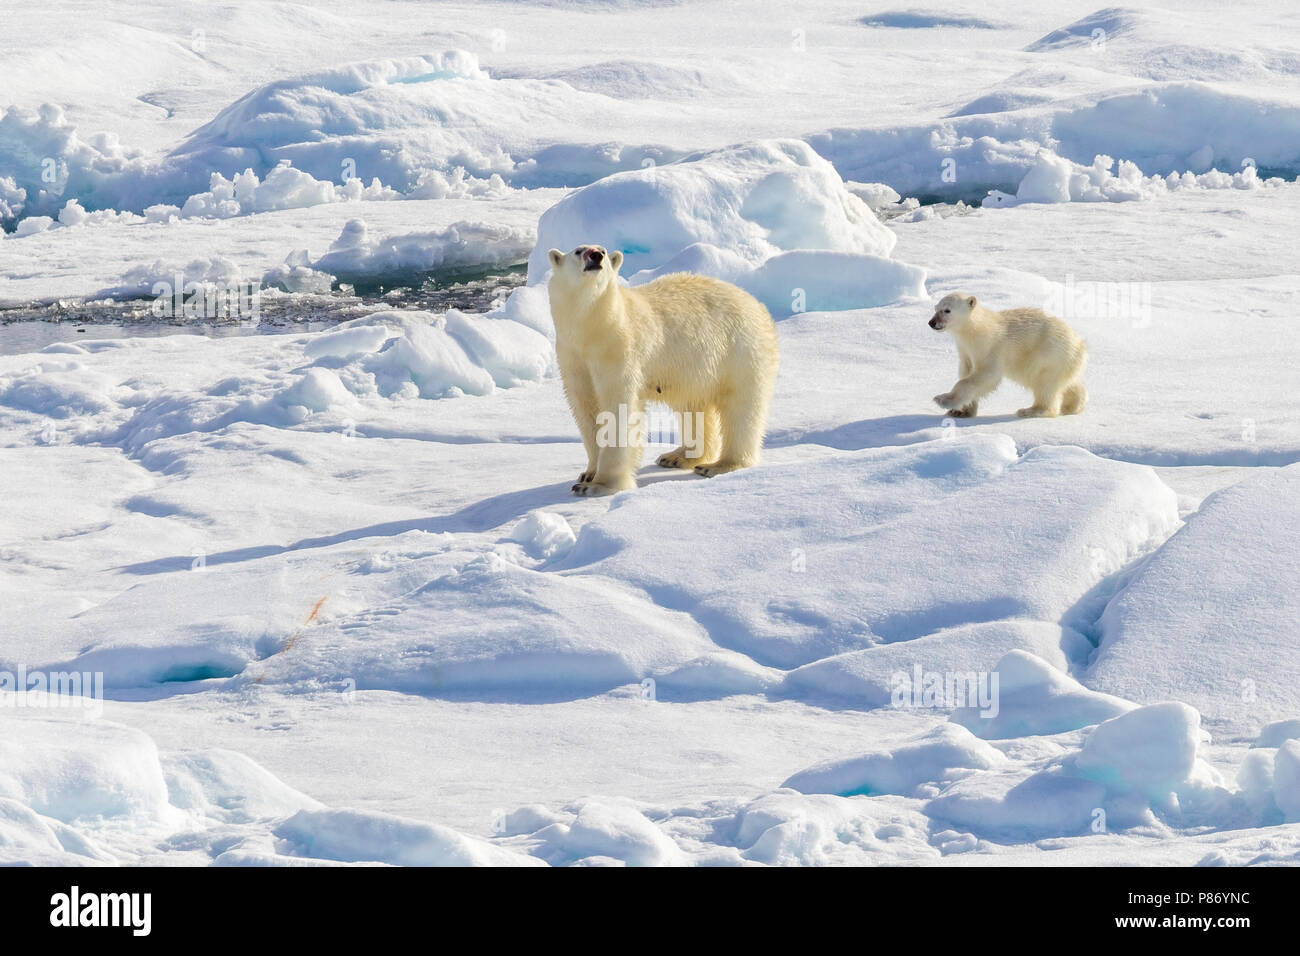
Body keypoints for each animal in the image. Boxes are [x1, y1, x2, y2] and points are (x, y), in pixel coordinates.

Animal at [543, 243, 774, 496]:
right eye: (578, 251)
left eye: (602, 250)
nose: (596, 255)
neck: (592, 328)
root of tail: (758, 305)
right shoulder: (572, 355)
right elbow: (586, 408)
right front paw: (587, 474)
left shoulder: (618, 349)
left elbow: (617, 408)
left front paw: (599, 485)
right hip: (697, 369)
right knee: (693, 407)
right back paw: (677, 457)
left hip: (740, 352)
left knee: (741, 409)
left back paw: (720, 465)